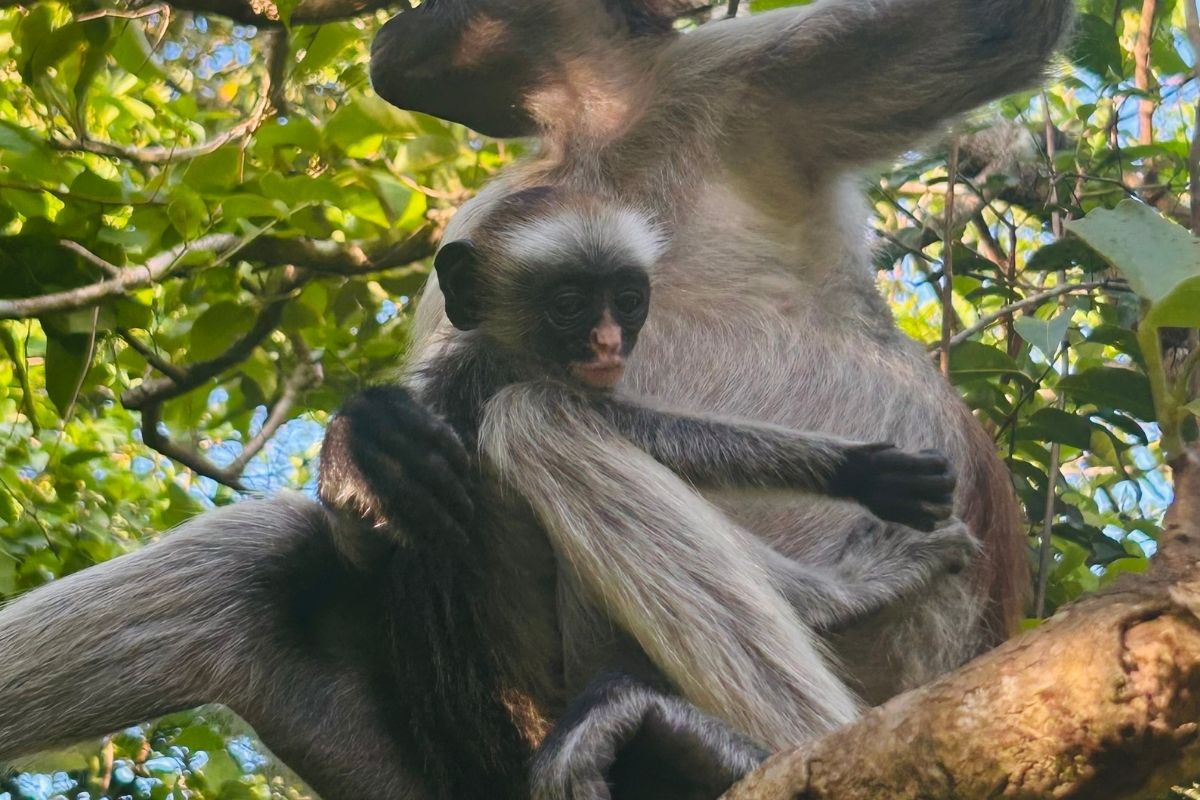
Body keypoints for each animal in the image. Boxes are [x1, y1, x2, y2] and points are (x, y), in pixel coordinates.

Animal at [0, 1, 1074, 798]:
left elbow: (1005, 30)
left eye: (624, 303)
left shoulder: (743, 74)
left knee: (538, 425)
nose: (397, 27)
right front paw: (363, 446)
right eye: (571, 304)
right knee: (266, 566)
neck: (603, 134)